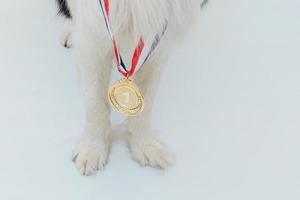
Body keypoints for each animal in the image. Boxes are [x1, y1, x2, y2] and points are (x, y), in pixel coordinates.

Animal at [56, 0, 205, 175]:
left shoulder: (160, 38)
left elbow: (145, 102)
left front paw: (145, 146)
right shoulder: (92, 32)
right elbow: (95, 102)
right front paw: (92, 149)